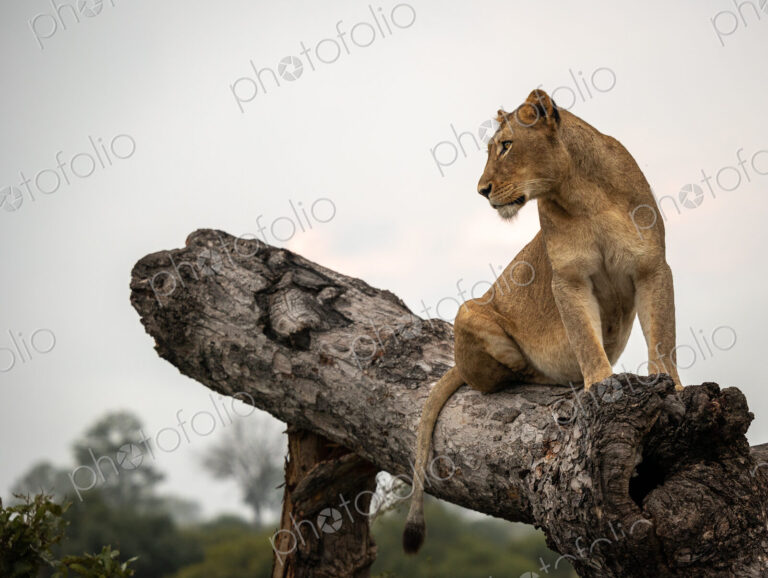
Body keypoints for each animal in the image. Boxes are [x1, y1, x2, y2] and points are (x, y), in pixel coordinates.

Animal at [402, 89, 682, 554]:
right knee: (501, 374)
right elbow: (586, 341)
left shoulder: (652, 269)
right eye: (492, 148)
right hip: (469, 309)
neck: (583, 194)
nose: (482, 190)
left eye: (506, 145)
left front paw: (673, 387)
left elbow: (663, 338)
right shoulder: (568, 279)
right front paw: (601, 385)